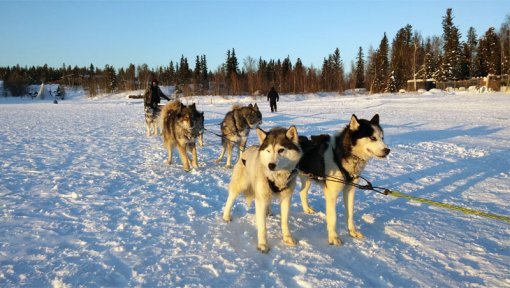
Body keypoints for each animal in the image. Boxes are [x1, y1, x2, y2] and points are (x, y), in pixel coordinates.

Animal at [294, 115, 390, 245]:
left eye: (382, 137)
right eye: (372, 137)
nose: (387, 150)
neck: (340, 155)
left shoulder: (350, 191)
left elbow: (350, 214)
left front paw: (352, 232)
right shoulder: (331, 195)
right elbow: (333, 218)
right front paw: (333, 237)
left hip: (307, 178)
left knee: (302, 192)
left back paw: (307, 209)